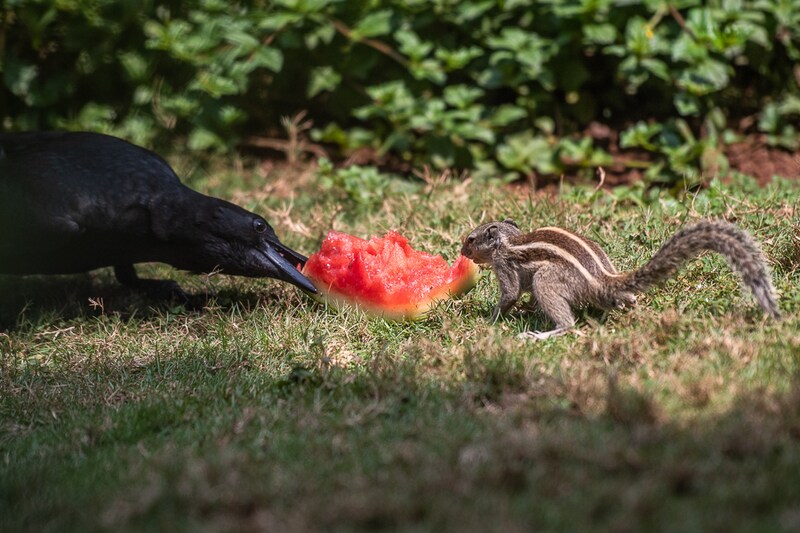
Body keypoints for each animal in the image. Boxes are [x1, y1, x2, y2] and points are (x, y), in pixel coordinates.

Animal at [461, 219, 780, 339]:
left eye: (471, 239)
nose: (462, 252)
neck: (509, 240)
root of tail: (604, 279)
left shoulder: (505, 266)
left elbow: (510, 294)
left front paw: (490, 320)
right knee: (624, 299)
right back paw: (631, 303)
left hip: (548, 280)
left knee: (568, 323)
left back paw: (542, 334)